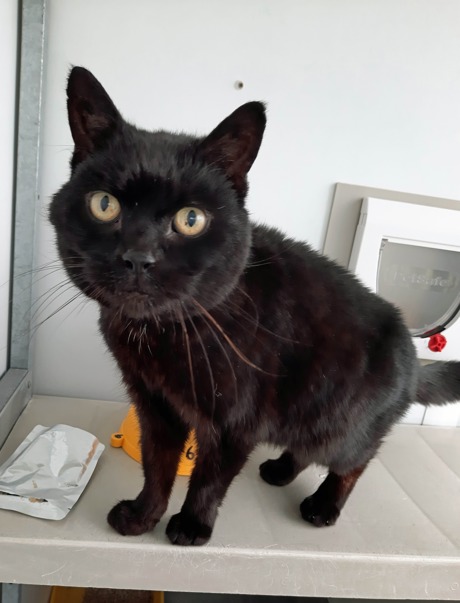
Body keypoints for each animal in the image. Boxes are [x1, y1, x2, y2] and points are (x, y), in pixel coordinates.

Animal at [50, 67, 460, 548]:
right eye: (104, 204)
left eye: (191, 220)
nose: (138, 256)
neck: (164, 335)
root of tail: (414, 357)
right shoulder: (155, 407)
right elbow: (157, 467)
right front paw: (142, 516)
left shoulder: (235, 422)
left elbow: (209, 479)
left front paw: (192, 526)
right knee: (303, 447)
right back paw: (280, 469)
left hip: (342, 424)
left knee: (353, 461)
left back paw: (323, 506)